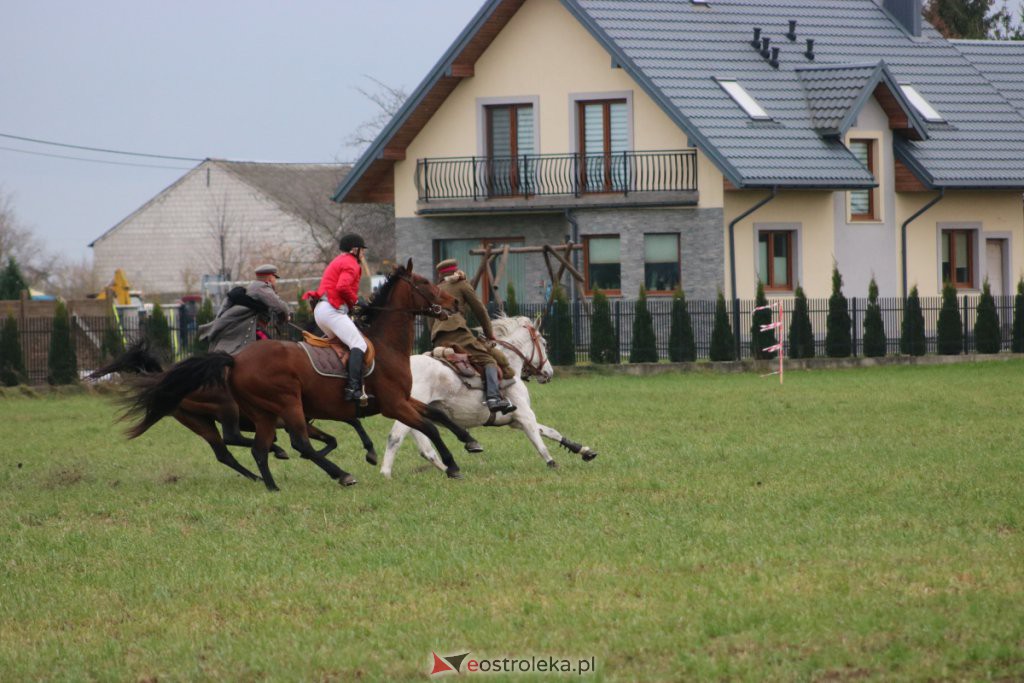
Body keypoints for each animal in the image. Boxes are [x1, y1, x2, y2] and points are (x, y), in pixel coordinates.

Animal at [124, 262, 479, 491]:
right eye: (425, 283)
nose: (454, 302)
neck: (385, 344)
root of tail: (235, 360)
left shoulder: (403, 400)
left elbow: (436, 415)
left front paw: (469, 442)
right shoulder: (394, 404)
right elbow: (430, 426)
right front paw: (452, 465)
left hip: (264, 413)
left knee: (255, 449)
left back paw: (271, 485)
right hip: (285, 404)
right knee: (295, 443)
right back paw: (340, 475)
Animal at [380, 313, 598, 475]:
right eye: (544, 343)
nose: (548, 373)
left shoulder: (515, 420)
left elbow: (551, 431)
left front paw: (583, 450)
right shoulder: (525, 416)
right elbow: (539, 441)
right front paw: (552, 463)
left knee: (426, 449)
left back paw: (451, 469)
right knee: (395, 437)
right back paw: (386, 474)